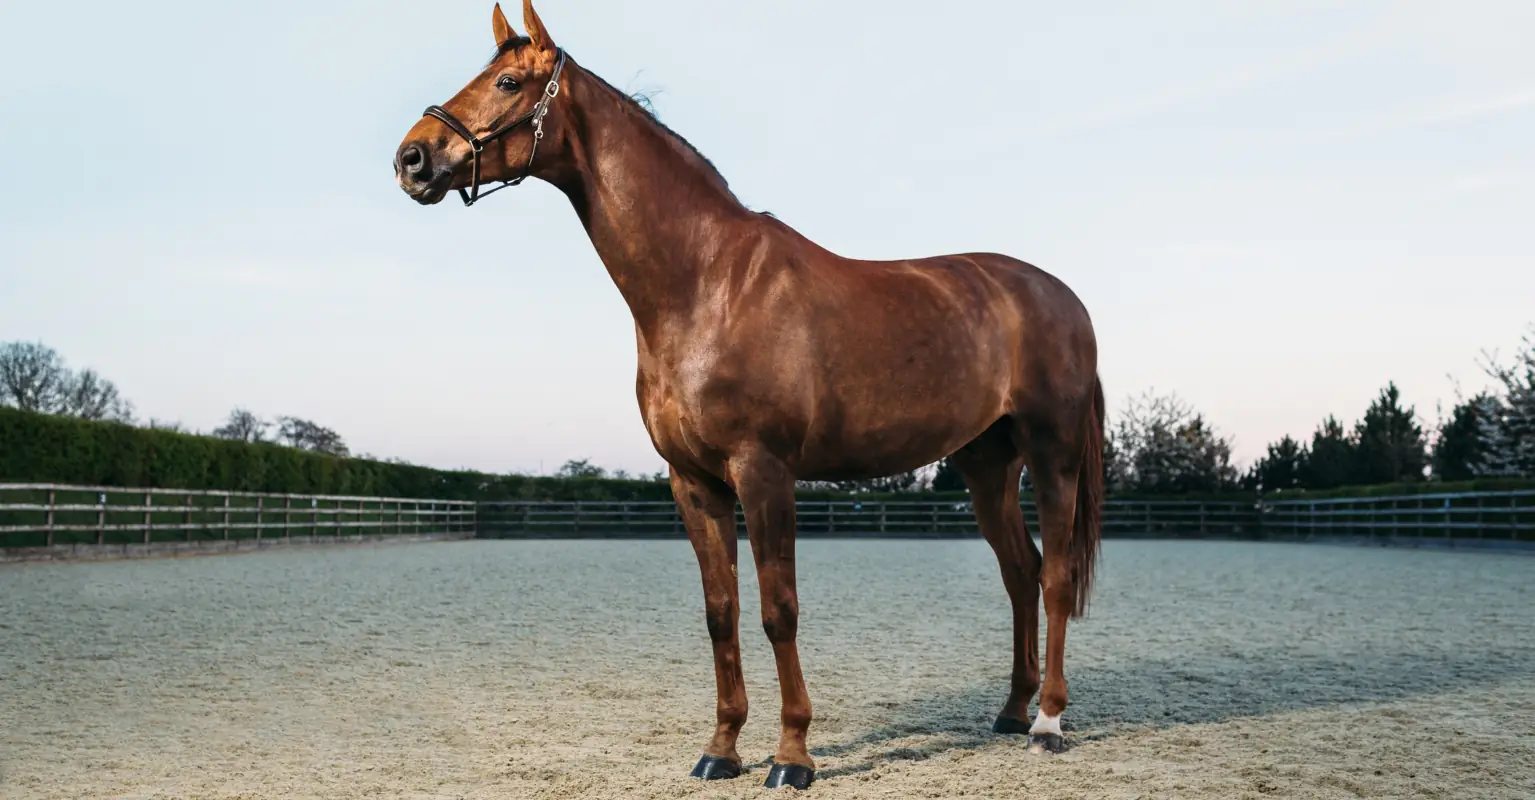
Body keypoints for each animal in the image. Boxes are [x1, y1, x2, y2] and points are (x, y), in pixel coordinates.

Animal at [394, 2, 1104, 790]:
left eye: (508, 81)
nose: (413, 159)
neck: (704, 284)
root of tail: (1059, 297)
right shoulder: (694, 483)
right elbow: (720, 613)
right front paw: (722, 748)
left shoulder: (764, 472)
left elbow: (777, 609)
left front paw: (792, 756)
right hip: (986, 466)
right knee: (1021, 573)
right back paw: (1010, 712)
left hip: (1052, 457)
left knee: (1054, 576)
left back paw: (1047, 722)